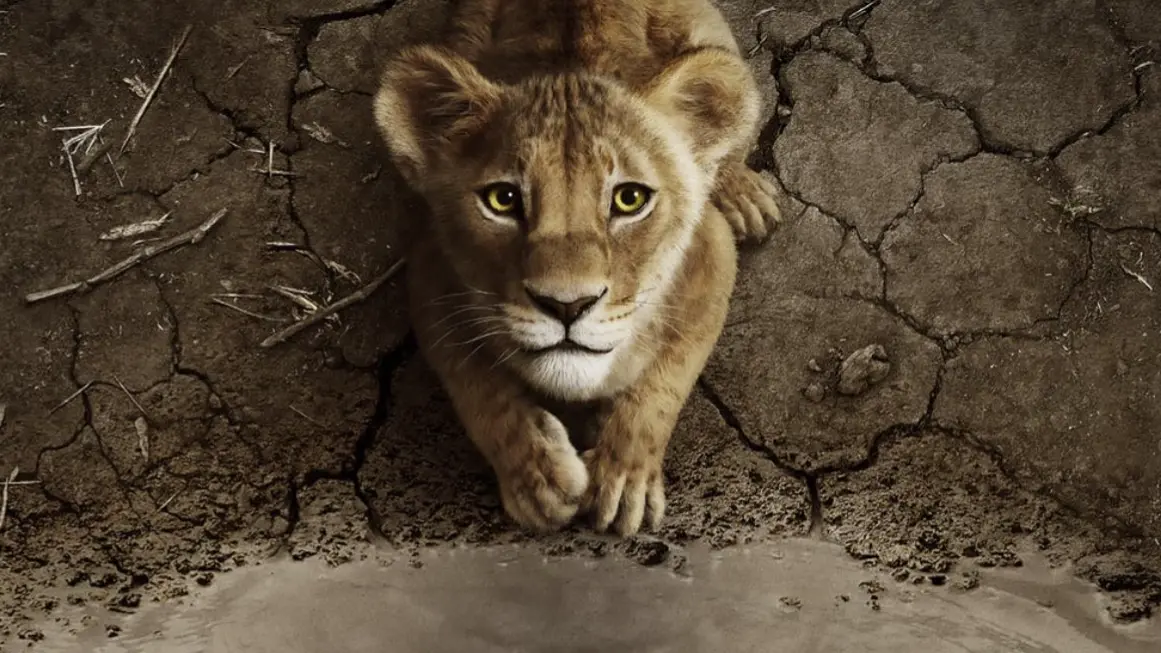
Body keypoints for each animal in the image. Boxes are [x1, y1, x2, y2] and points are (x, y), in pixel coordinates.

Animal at [372, 0, 781, 536]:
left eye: (630, 199)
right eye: (502, 200)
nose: (567, 306)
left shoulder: (711, 255)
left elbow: (665, 381)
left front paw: (624, 479)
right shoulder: (428, 272)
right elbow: (477, 388)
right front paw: (537, 479)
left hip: (712, 40)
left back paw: (743, 194)